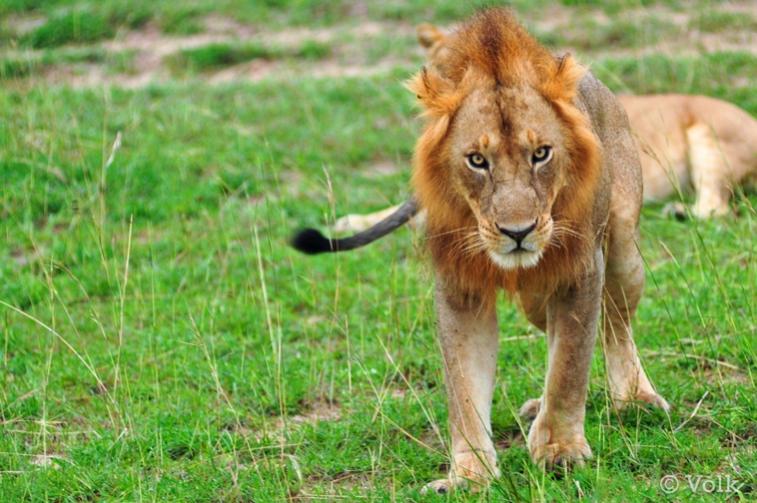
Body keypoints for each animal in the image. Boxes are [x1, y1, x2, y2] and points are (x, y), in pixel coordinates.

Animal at [292, 9, 668, 493]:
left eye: (541, 154)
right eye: (476, 160)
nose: (518, 231)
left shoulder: (581, 268)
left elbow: (570, 366)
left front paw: (560, 450)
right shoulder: (459, 286)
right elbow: (465, 386)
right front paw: (469, 475)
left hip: (621, 249)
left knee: (614, 325)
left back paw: (635, 399)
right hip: (537, 298)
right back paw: (537, 407)